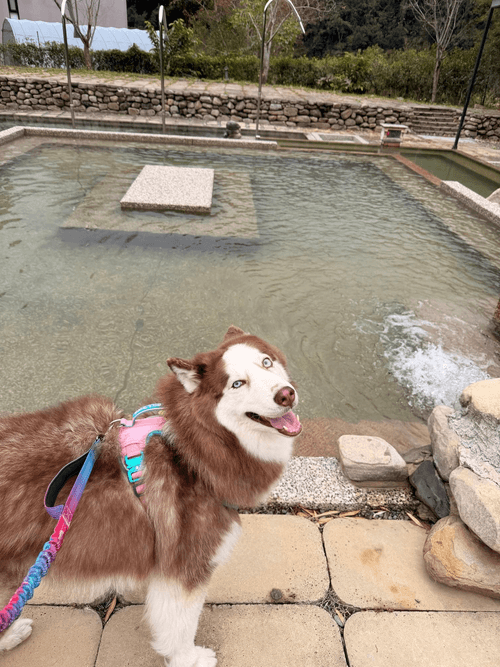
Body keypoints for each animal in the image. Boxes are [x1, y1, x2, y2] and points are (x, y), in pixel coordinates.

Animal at [0, 326, 301, 666]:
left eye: (266, 362)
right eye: (237, 383)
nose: (286, 394)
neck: (192, 448)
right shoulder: (184, 569)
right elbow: (179, 627)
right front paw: (189, 658)